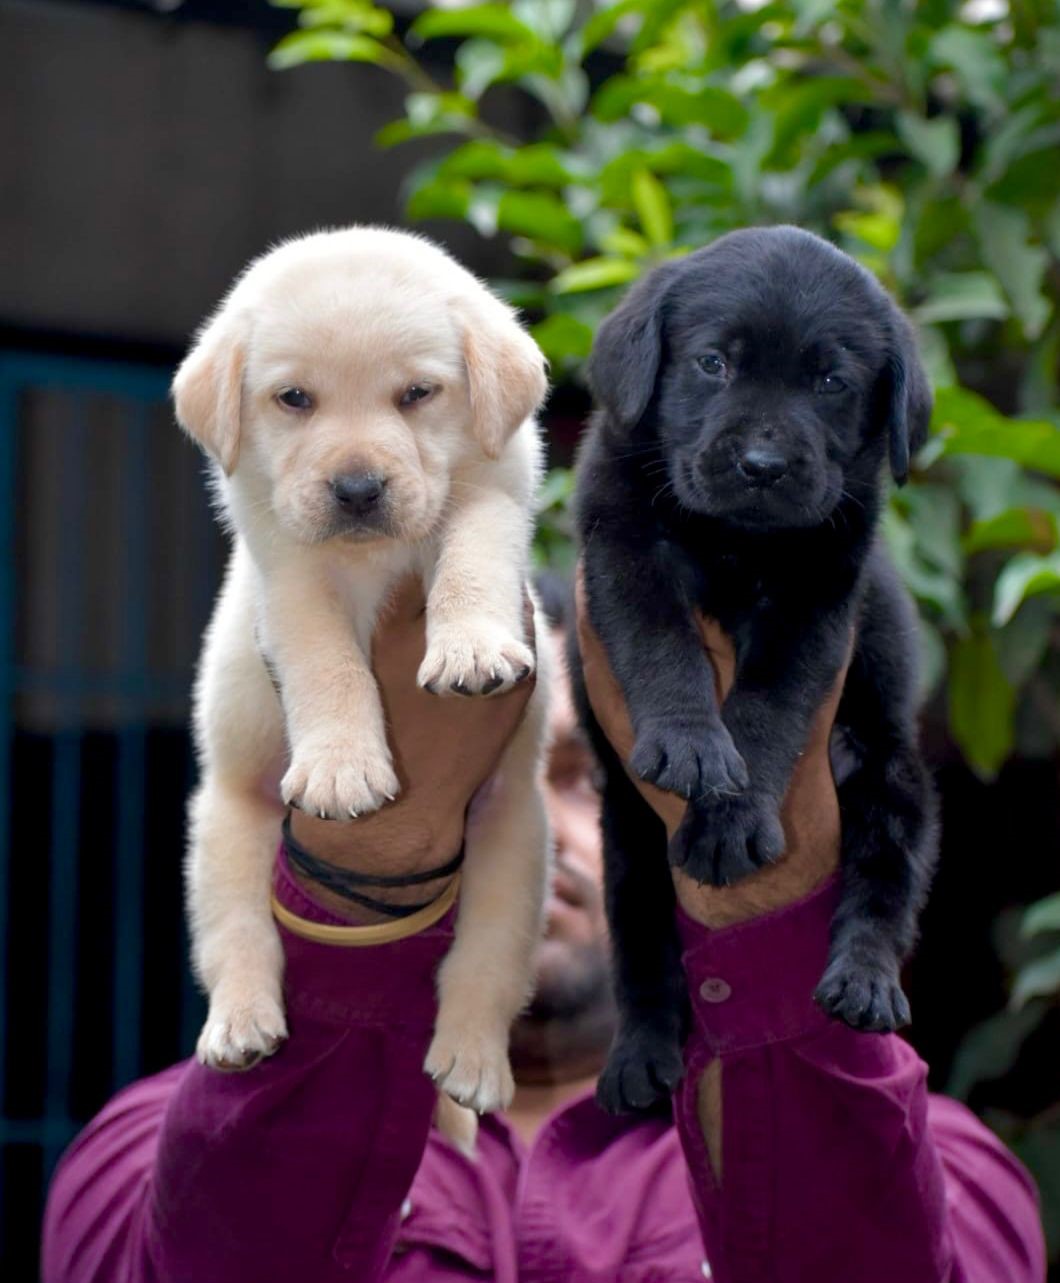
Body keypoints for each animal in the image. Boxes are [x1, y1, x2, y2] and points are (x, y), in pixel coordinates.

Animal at [169, 228, 549, 1123]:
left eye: (417, 393)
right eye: (293, 398)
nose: (356, 488)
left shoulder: (490, 494)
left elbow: (473, 559)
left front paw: (472, 648)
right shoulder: (290, 572)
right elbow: (327, 664)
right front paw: (343, 768)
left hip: (516, 838)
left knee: (485, 963)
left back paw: (472, 1059)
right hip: (222, 829)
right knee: (238, 936)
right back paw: (240, 1026)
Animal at [564, 228, 939, 1113]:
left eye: (832, 381)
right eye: (713, 363)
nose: (764, 463)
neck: (738, 541)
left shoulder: (817, 601)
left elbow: (768, 708)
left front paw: (730, 818)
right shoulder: (622, 544)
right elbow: (664, 648)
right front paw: (693, 747)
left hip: (895, 776)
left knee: (884, 880)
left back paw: (864, 983)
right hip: (626, 839)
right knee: (642, 946)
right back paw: (638, 1059)